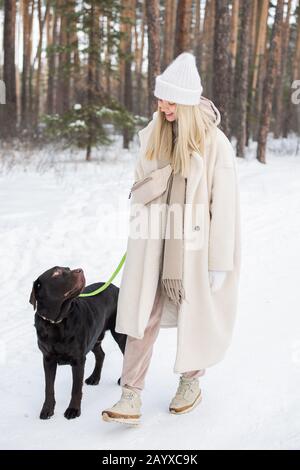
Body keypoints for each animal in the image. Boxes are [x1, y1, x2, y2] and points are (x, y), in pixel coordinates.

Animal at [29, 266, 125, 420]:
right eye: (56, 273)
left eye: (67, 268)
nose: (80, 270)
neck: (57, 322)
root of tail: (115, 287)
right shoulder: (48, 359)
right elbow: (48, 388)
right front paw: (47, 409)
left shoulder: (78, 360)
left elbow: (76, 388)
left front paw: (73, 410)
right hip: (94, 337)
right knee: (101, 354)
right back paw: (94, 378)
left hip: (120, 333)